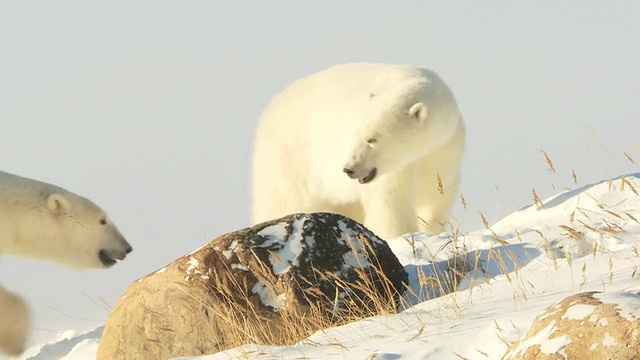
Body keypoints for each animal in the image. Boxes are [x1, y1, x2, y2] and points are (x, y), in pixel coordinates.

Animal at [252, 62, 468, 239]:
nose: (349, 169)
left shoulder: (445, 149)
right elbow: (390, 199)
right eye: (355, 134)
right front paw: (401, 236)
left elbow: (436, 193)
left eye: (372, 139)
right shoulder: (395, 169)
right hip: (292, 160)